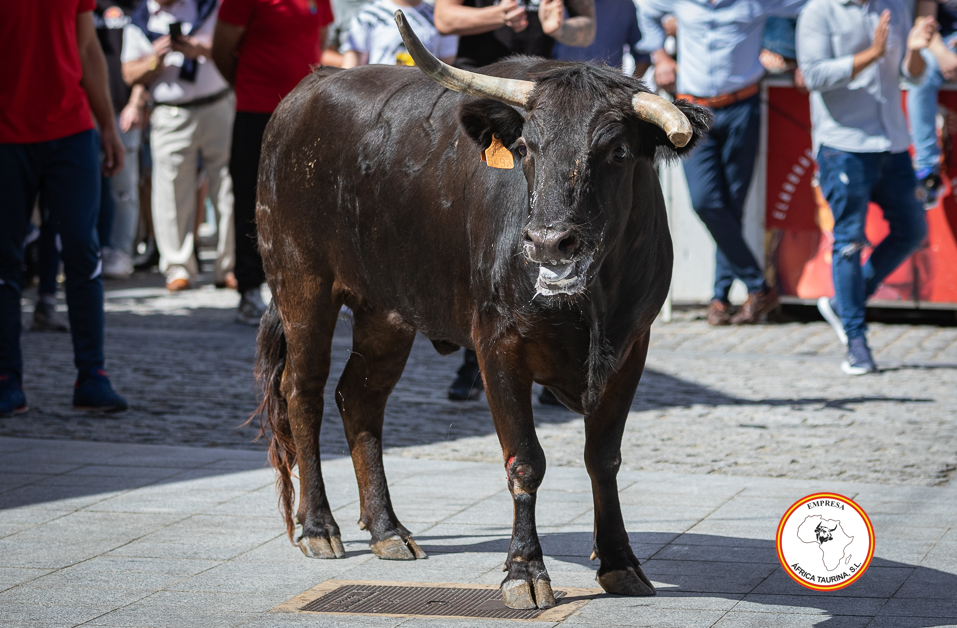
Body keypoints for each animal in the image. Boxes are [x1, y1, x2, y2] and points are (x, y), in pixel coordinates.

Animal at [253, 11, 711, 610]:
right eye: (527, 149)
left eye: (616, 152)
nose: (547, 241)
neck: (589, 304)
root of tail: (307, 89)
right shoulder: (498, 345)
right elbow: (526, 460)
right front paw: (525, 571)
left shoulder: (631, 346)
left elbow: (603, 456)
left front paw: (620, 563)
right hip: (301, 284)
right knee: (302, 393)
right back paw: (319, 528)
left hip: (385, 311)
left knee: (359, 398)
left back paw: (387, 530)